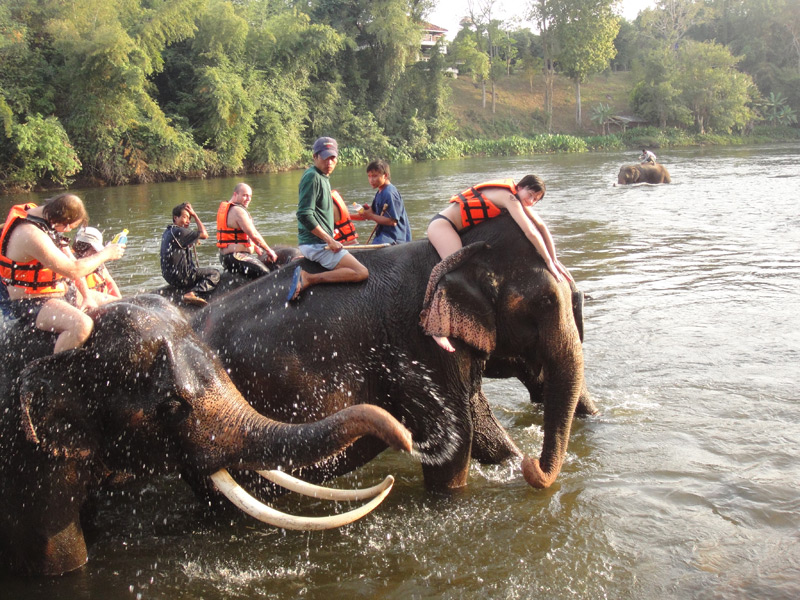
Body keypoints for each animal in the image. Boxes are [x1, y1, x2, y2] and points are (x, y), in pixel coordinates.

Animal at [194, 213, 588, 494]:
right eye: (545, 302)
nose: (534, 467)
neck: (450, 249)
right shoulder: (419, 345)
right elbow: (454, 441)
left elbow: (482, 427)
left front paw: (512, 462)